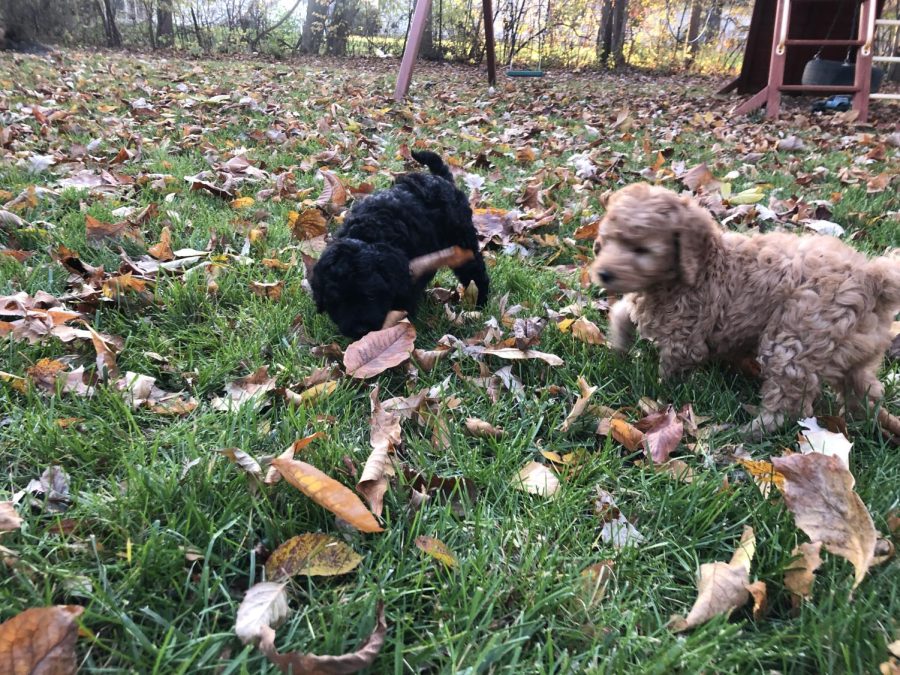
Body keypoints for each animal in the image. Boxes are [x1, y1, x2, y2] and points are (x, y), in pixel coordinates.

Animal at [312, 149, 492, 336]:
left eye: (371, 296)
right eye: (336, 301)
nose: (359, 331)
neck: (367, 235)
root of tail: (440, 178)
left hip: (461, 238)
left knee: (474, 270)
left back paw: (479, 302)